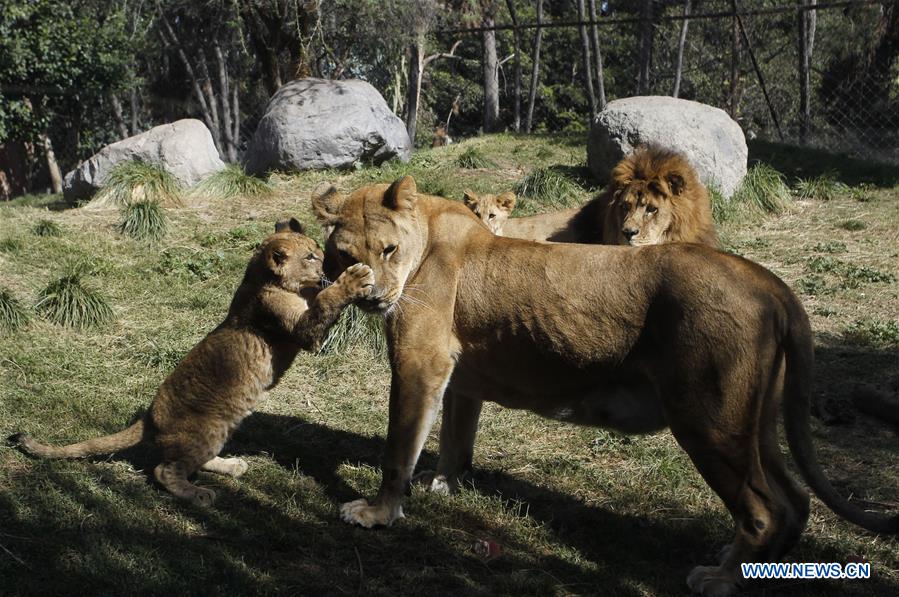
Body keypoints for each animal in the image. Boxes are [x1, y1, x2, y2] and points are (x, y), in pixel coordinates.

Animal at [12, 219, 374, 506]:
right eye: (311, 257)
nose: (327, 267)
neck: (262, 278)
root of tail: (150, 418)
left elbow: (320, 299)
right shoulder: (301, 330)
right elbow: (325, 303)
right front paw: (353, 278)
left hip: (219, 430)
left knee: (196, 460)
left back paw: (233, 465)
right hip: (206, 428)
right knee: (165, 470)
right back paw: (198, 494)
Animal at [312, 176, 897, 597]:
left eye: (388, 250)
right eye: (347, 256)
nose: (372, 296)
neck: (423, 243)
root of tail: (769, 281)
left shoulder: (420, 362)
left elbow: (398, 449)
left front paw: (378, 513)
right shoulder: (459, 377)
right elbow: (456, 440)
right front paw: (443, 485)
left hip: (709, 420)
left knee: (763, 508)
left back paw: (722, 578)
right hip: (754, 421)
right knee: (795, 501)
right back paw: (766, 568)